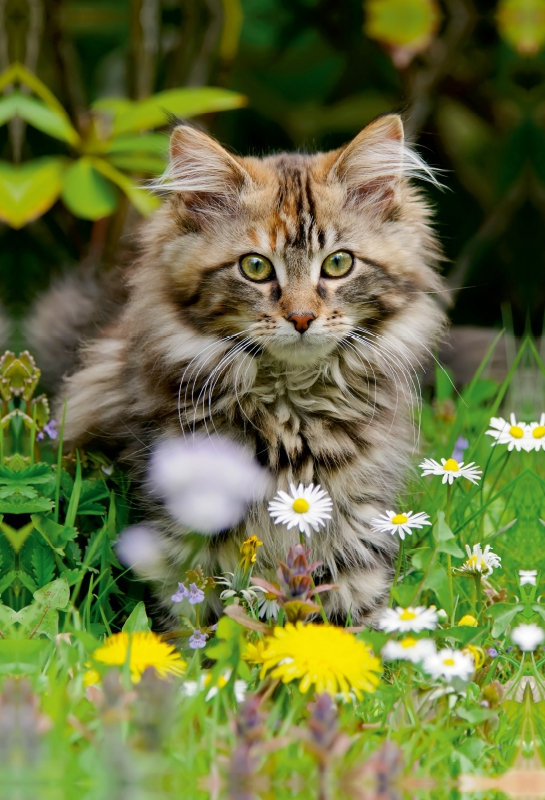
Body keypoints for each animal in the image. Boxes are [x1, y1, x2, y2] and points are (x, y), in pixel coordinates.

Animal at [26, 114, 446, 624]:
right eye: (256, 268)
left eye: (338, 263)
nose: (301, 318)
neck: (293, 409)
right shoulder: (182, 518)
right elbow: (191, 612)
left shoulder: (357, 518)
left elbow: (355, 618)